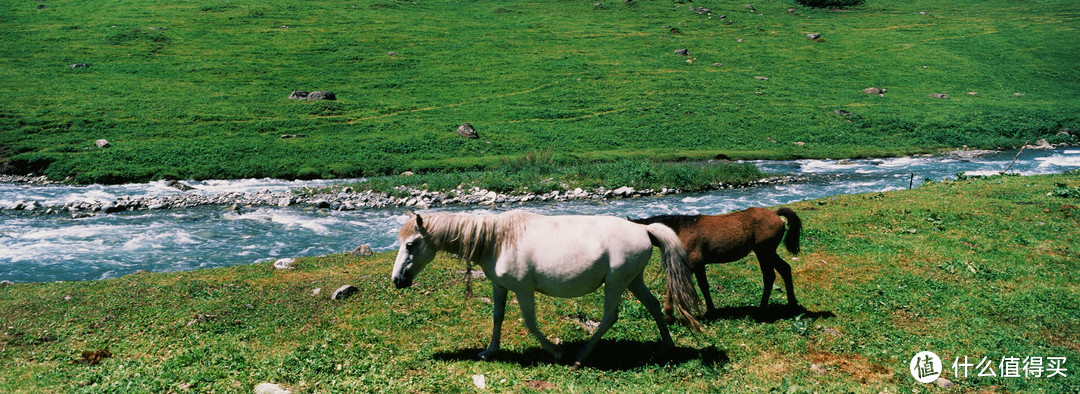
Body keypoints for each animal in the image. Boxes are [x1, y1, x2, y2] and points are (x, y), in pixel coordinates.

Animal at [388, 208, 699, 369]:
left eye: (411, 244)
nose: (397, 280)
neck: (497, 240)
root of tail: (644, 230)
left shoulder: (523, 290)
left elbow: (530, 323)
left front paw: (556, 352)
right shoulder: (499, 286)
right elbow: (497, 318)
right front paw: (489, 352)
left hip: (616, 283)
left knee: (610, 317)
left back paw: (580, 357)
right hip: (633, 281)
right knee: (654, 305)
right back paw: (666, 347)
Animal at [630, 206, 803, 319]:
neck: (679, 229)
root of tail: (775, 214)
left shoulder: (691, 264)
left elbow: (674, 286)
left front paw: (668, 315)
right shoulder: (698, 266)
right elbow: (704, 287)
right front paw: (711, 310)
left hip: (764, 253)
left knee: (769, 277)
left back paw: (761, 310)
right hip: (769, 253)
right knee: (785, 269)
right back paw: (792, 304)